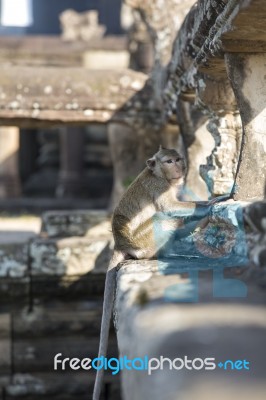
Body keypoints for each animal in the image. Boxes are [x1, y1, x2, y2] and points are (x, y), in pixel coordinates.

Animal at [92, 147, 207, 400]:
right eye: (169, 161)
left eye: (178, 159)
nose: (179, 167)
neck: (160, 175)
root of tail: (120, 243)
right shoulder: (159, 187)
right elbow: (170, 208)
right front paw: (212, 203)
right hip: (143, 241)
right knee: (161, 218)